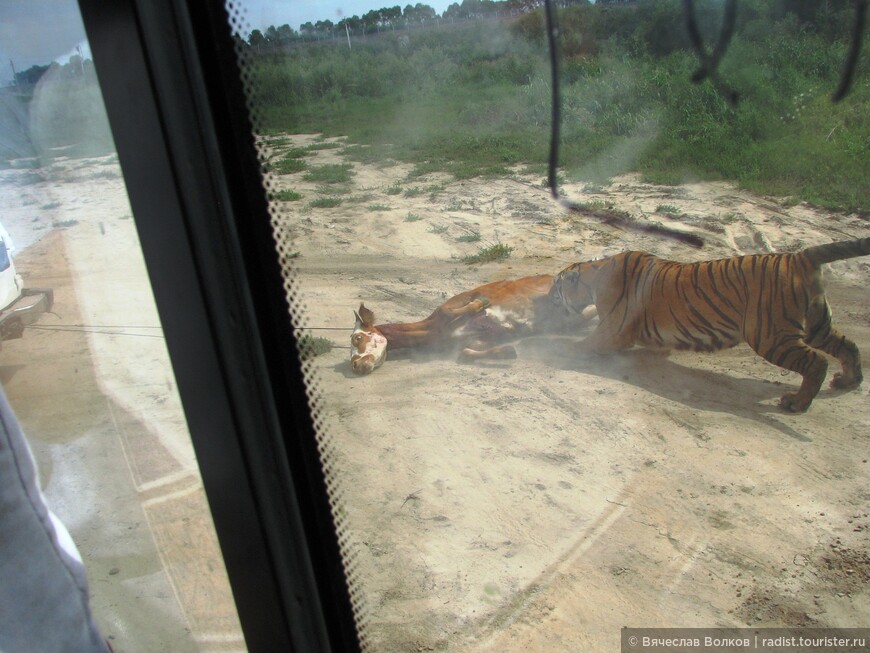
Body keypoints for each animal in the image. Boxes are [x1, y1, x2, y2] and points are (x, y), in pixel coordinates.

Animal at [552, 238, 870, 412]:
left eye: (556, 286)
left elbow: (583, 344)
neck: (595, 274)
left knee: (817, 361)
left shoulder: (613, 331)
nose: (551, 295)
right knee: (848, 346)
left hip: (770, 336)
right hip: (818, 325)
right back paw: (849, 380)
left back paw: (796, 403)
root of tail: (799, 256)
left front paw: (558, 350)